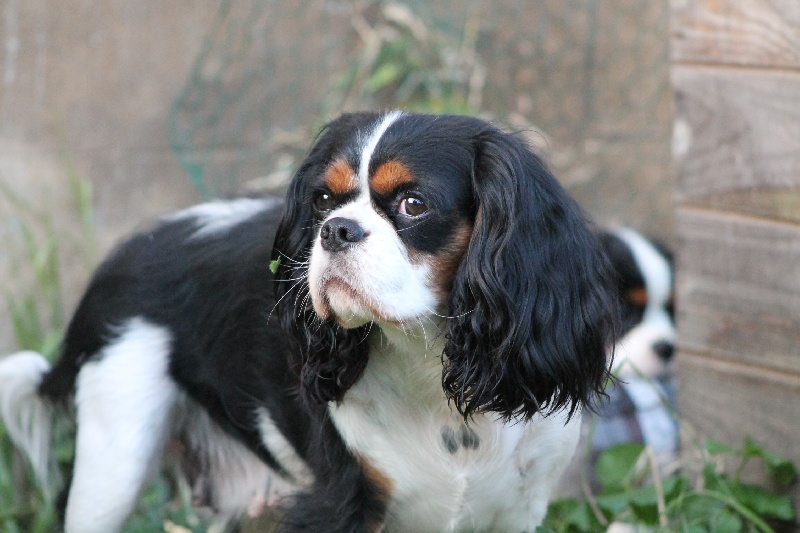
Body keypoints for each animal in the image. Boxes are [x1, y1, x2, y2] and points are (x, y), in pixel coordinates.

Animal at [0, 110, 612, 528]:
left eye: (413, 204)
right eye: (322, 200)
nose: (337, 229)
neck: (430, 365)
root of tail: (118, 260)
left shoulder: (516, 509)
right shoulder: (340, 502)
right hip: (115, 456)